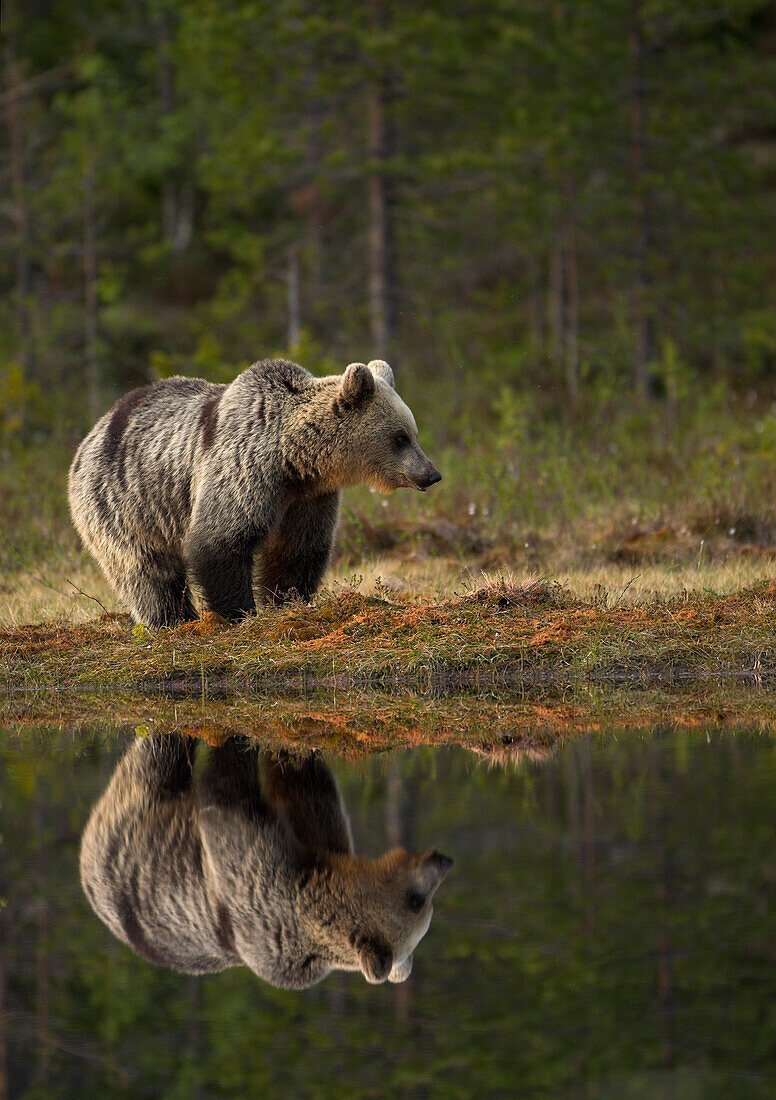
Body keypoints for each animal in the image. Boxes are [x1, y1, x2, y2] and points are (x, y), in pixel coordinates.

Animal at [69, 360, 438, 629]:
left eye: (413, 433)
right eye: (400, 437)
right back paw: (171, 620)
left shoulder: (307, 498)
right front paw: (239, 613)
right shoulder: (243, 469)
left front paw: (287, 601)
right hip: (123, 503)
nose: (432, 474)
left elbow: (296, 550)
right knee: (147, 572)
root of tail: (91, 435)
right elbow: (220, 541)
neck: (293, 459)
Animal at [79, 739, 451, 990]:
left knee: (156, 759)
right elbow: (285, 783)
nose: (443, 860)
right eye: (417, 900)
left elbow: (236, 798)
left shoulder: (266, 884)